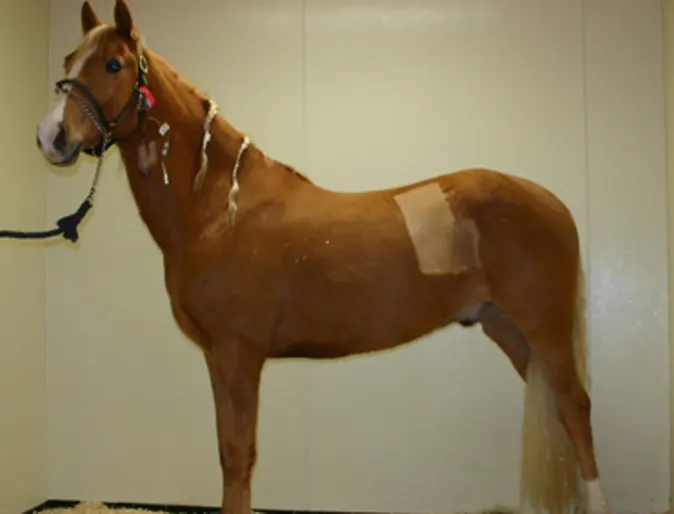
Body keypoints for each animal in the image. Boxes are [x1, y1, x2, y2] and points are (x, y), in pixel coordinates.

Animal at [35, 2, 610, 514]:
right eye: (68, 59)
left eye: (114, 64)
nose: (51, 136)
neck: (219, 210)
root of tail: (552, 203)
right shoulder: (216, 356)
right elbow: (226, 454)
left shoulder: (238, 352)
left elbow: (238, 456)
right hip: (508, 329)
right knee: (560, 413)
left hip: (543, 327)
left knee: (576, 409)